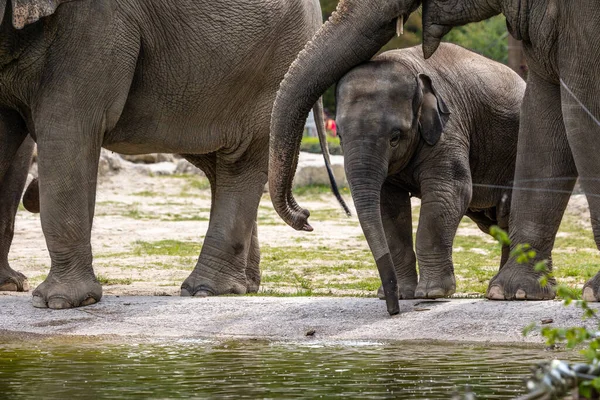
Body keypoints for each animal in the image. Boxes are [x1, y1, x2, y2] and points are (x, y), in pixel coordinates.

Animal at [0, 0, 332, 310]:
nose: (307, 219)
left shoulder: (95, 25)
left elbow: (67, 128)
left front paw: (58, 302)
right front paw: (13, 286)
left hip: (271, 65)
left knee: (241, 160)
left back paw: (206, 290)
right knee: (217, 166)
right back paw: (244, 286)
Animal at [338, 43, 524, 300]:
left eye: (395, 137)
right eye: (339, 135)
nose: (390, 301)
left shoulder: (450, 128)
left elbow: (447, 192)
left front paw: (431, 293)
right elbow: (389, 206)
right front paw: (401, 294)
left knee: (508, 216)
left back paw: (498, 290)